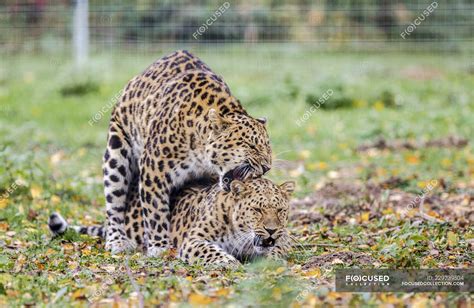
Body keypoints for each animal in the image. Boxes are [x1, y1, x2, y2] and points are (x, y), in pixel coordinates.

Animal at [48, 178, 292, 268]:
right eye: (257, 210)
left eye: (280, 211)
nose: (271, 230)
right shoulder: (194, 240)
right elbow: (213, 252)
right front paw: (229, 262)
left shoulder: (284, 239)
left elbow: (279, 248)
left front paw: (273, 260)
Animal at [102, 50, 272, 256]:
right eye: (252, 145)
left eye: (268, 148)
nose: (267, 167)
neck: (201, 155)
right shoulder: (153, 169)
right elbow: (155, 211)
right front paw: (160, 248)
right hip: (116, 151)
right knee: (114, 203)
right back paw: (117, 241)